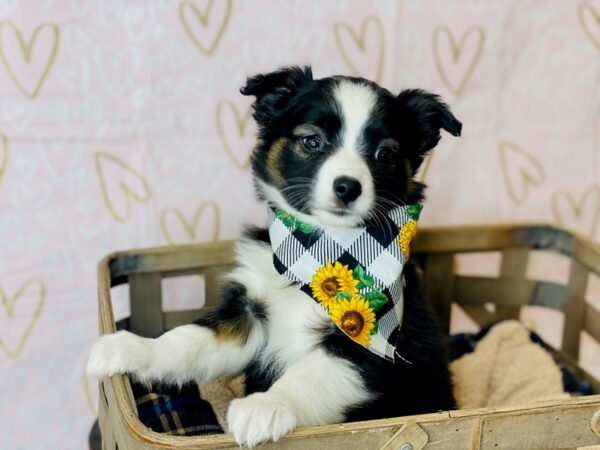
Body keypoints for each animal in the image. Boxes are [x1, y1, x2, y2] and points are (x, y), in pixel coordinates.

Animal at [88, 66, 460, 446]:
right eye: (312, 141)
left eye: (384, 155)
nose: (347, 187)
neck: (322, 248)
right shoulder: (250, 311)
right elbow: (191, 339)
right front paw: (137, 349)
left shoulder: (371, 343)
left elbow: (310, 374)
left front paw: (264, 407)